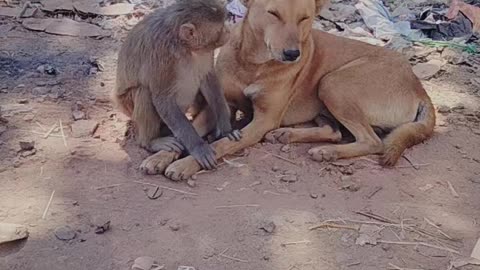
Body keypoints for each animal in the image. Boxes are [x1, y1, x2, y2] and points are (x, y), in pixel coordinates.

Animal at [112, 0, 240, 170]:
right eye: (219, 28)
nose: (227, 30)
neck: (184, 45)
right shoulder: (162, 53)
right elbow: (162, 98)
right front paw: (198, 147)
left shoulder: (204, 50)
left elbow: (208, 78)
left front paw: (226, 129)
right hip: (127, 105)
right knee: (144, 92)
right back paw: (150, 142)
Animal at [161, 0, 436, 181]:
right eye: (273, 14)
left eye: (304, 18)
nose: (293, 54)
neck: (253, 64)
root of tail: (418, 85)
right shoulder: (220, 106)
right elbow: (188, 131)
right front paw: (159, 157)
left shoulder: (262, 121)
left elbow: (220, 145)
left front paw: (186, 165)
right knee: (334, 131)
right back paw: (289, 136)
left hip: (333, 83)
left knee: (373, 141)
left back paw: (326, 152)